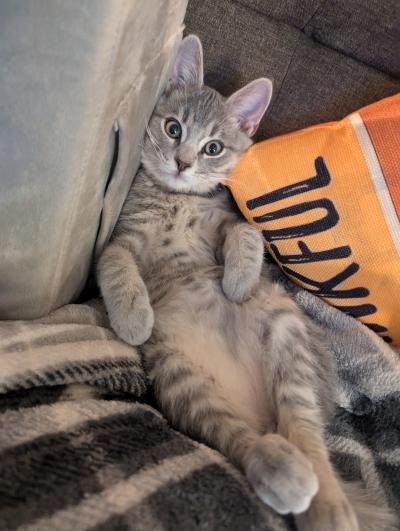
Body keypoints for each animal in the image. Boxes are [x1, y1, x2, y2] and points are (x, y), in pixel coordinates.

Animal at [98, 36, 396, 531]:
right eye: (174, 129)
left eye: (213, 147)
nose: (182, 162)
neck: (176, 199)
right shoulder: (122, 239)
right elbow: (113, 261)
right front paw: (134, 318)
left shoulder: (225, 222)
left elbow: (247, 232)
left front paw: (237, 282)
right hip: (181, 378)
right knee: (239, 437)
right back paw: (279, 469)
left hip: (288, 334)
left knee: (305, 432)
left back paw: (327, 504)